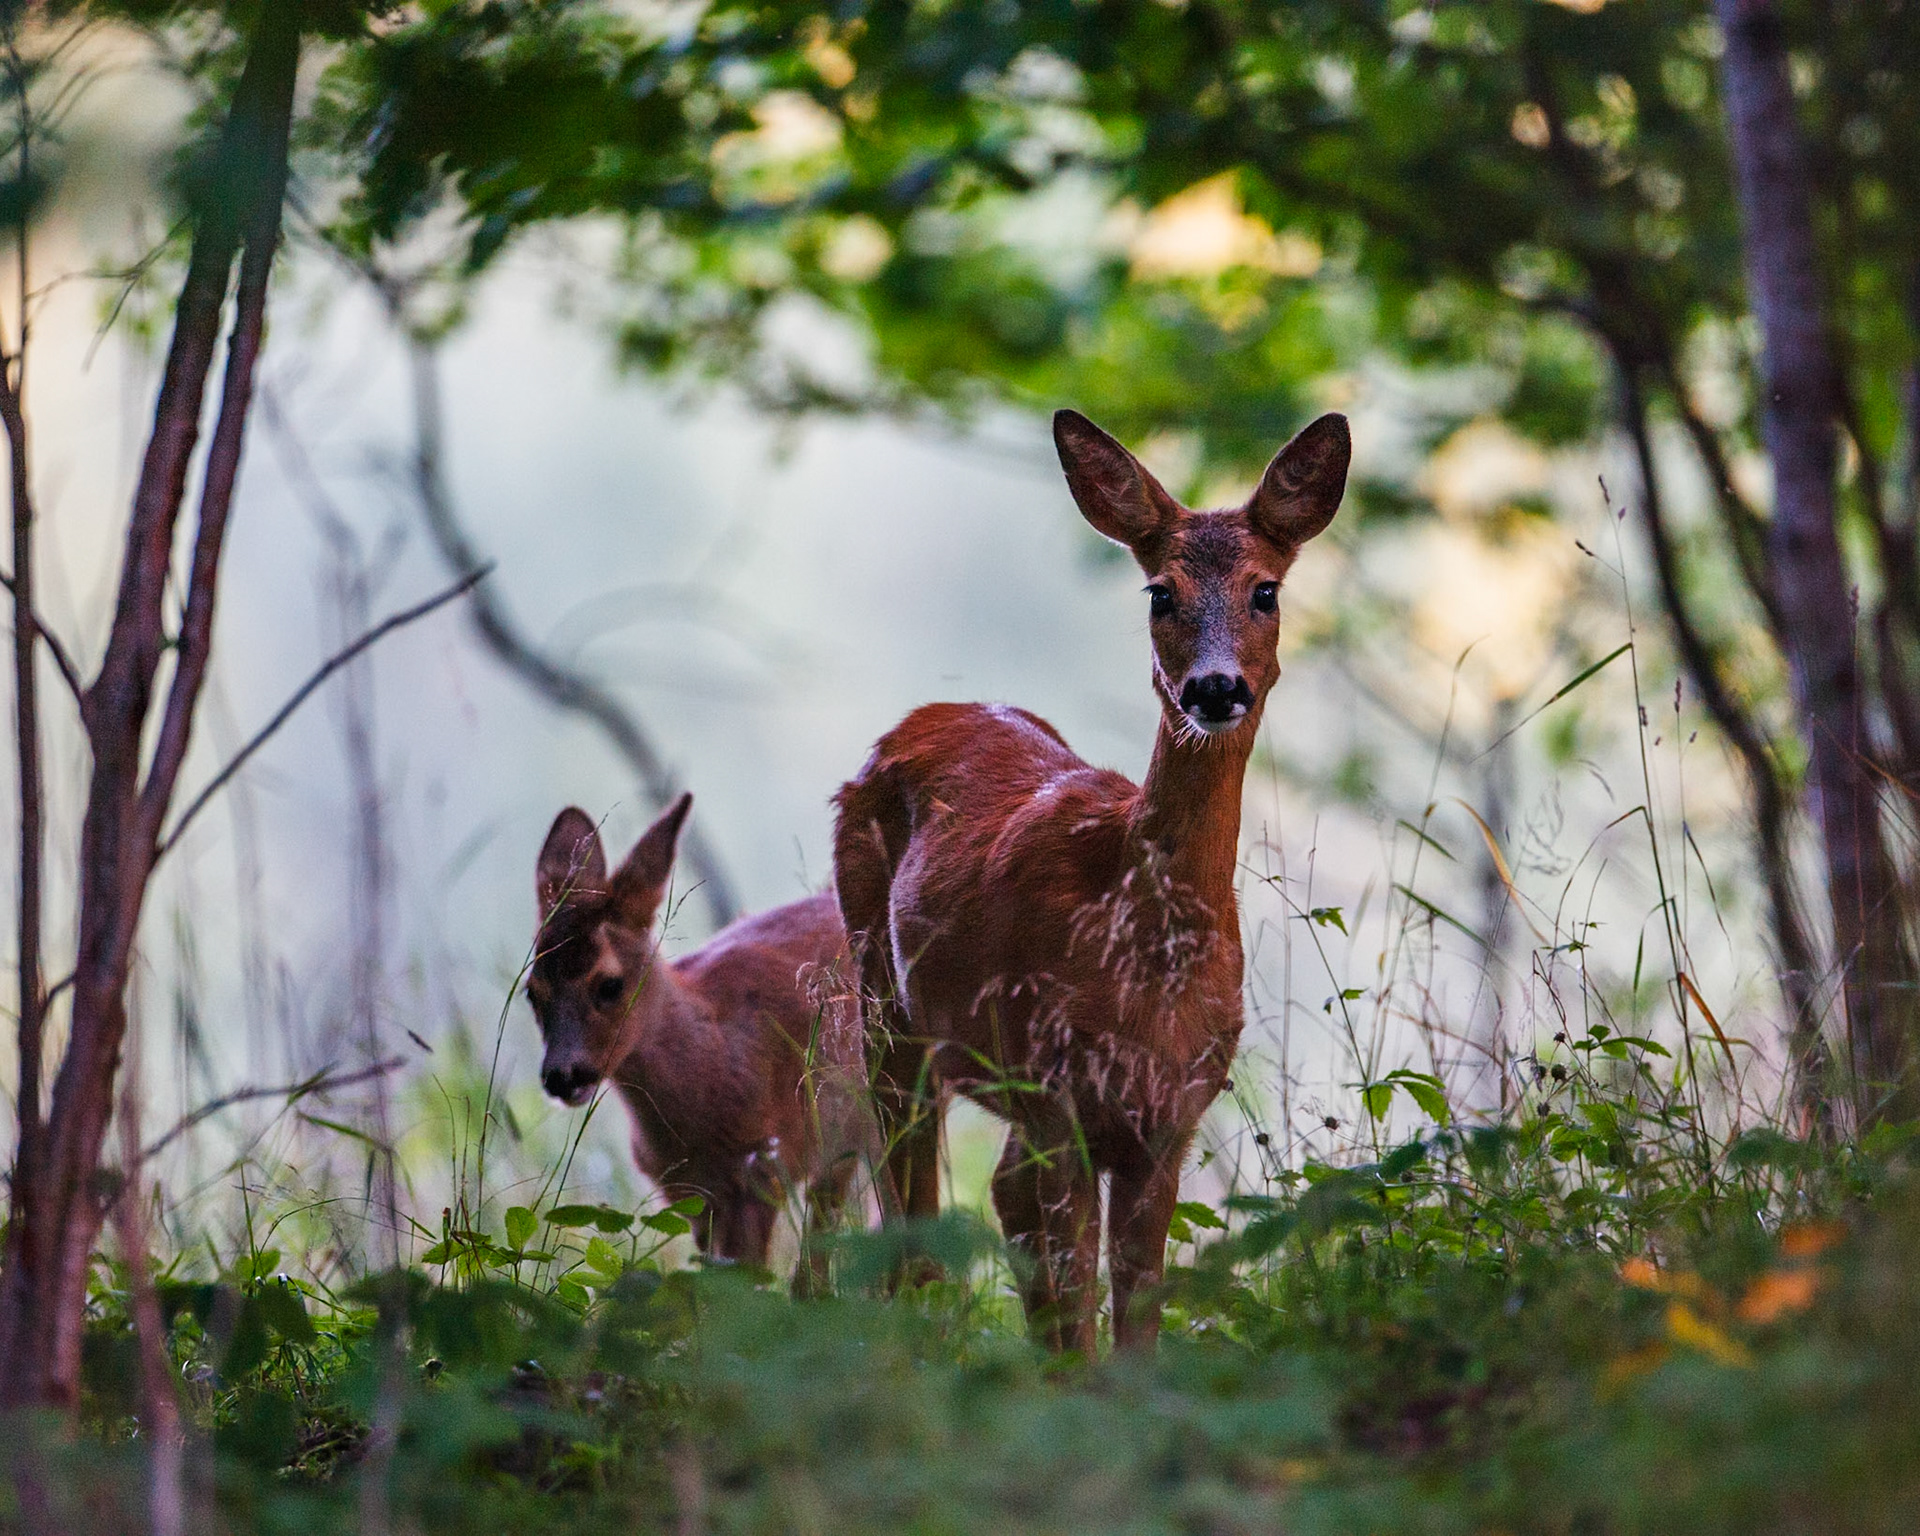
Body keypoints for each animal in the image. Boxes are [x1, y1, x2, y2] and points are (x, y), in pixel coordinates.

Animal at [832, 408, 1349, 1352]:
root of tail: (922, 718)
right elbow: (1079, 1314)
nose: (1213, 687)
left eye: (1266, 591)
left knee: (993, 1196)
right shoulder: (1053, 1087)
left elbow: (1135, 1320)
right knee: (910, 1214)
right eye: (1160, 594)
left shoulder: (1172, 1114)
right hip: (885, 999)